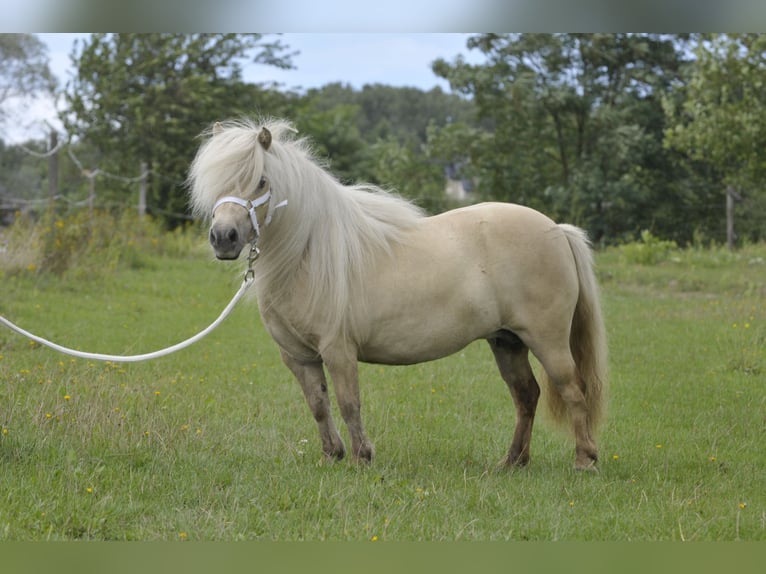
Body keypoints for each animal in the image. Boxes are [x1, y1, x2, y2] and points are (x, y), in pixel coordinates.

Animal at [189, 118, 608, 472]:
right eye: (215, 182)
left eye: (260, 181)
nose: (223, 238)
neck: (308, 252)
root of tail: (557, 229)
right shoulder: (298, 356)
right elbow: (318, 405)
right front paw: (331, 456)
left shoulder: (338, 350)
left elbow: (348, 403)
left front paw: (361, 458)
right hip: (507, 341)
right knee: (526, 395)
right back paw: (512, 462)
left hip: (547, 340)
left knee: (573, 391)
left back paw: (584, 460)